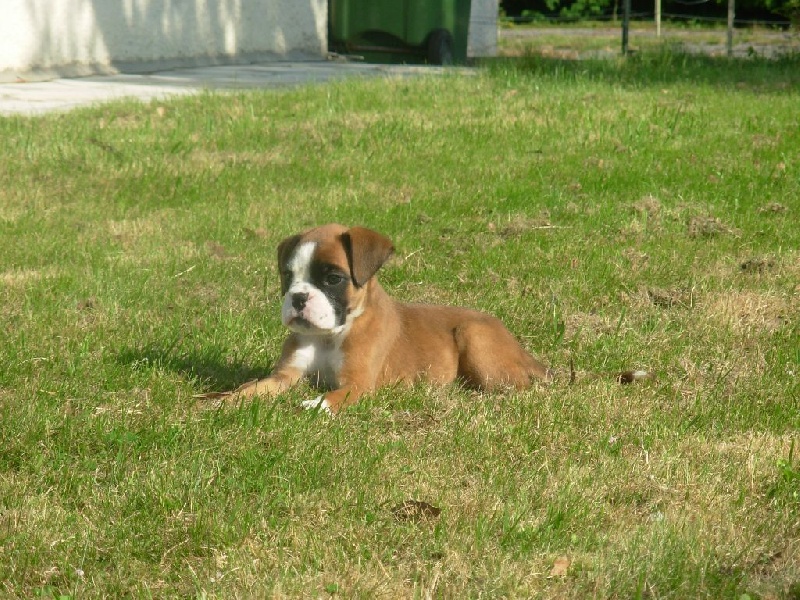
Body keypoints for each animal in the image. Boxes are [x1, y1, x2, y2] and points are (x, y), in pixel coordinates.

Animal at [211, 223, 644, 414]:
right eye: (288, 276)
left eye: (332, 278)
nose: (298, 297)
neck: (332, 333)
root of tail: (524, 352)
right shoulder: (284, 377)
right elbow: (251, 389)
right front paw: (220, 402)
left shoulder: (358, 385)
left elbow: (331, 398)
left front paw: (315, 405)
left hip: (475, 338)